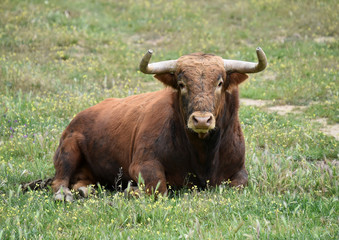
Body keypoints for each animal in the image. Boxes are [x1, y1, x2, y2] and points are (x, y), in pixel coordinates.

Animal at [51, 47, 266, 201]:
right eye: (182, 84)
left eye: (219, 83)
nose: (201, 120)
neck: (202, 152)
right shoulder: (143, 163)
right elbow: (158, 189)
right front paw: (131, 191)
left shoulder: (239, 169)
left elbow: (239, 184)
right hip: (68, 149)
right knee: (59, 180)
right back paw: (65, 195)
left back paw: (86, 190)